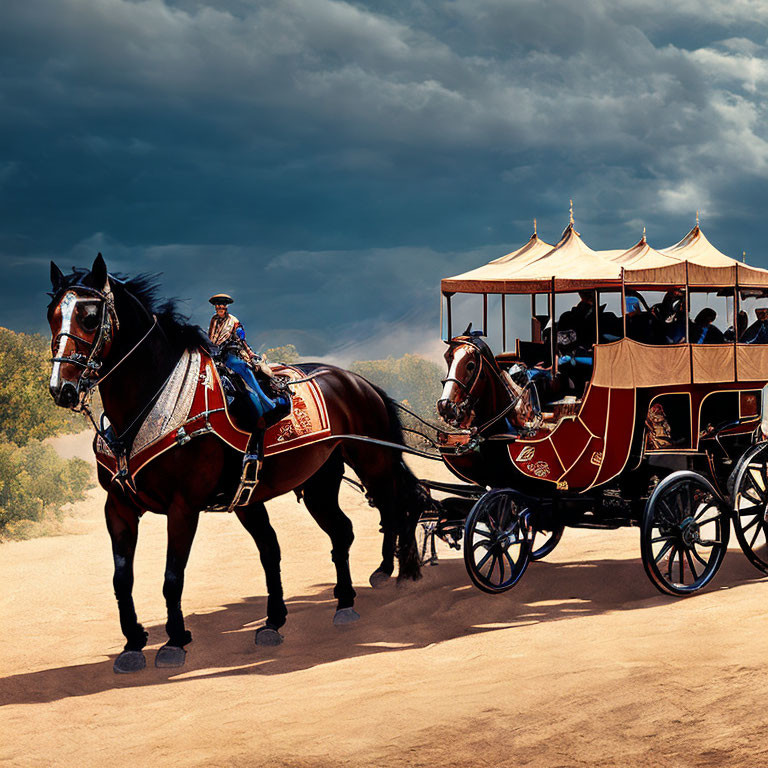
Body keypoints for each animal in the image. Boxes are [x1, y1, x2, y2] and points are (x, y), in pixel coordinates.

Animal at [46, 254, 426, 672]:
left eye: (90, 316)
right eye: (52, 315)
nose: (62, 389)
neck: (152, 404)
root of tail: (359, 381)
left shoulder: (183, 507)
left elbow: (172, 576)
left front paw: (174, 642)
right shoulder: (118, 507)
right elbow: (121, 579)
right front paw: (132, 643)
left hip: (374, 463)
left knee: (398, 507)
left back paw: (393, 572)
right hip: (313, 483)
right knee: (334, 533)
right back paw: (326, 608)